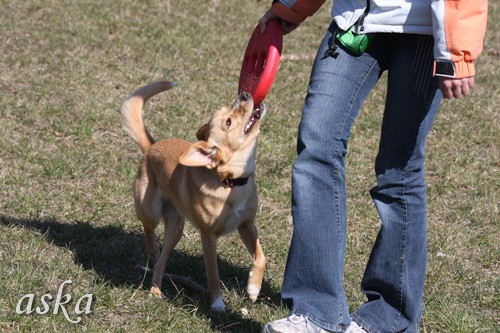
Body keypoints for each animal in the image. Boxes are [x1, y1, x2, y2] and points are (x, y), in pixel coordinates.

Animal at [121, 81, 268, 312]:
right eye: (228, 122)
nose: (245, 94)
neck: (230, 182)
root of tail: (151, 146)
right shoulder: (208, 237)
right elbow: (213, 274)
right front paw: (217, 304)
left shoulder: (247, 225)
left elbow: (261, 257)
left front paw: (253, 288)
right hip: (150, 210)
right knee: (149, 230)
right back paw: (152, 249)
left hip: (176, 229)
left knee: (161, 262)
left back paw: (155, 289)